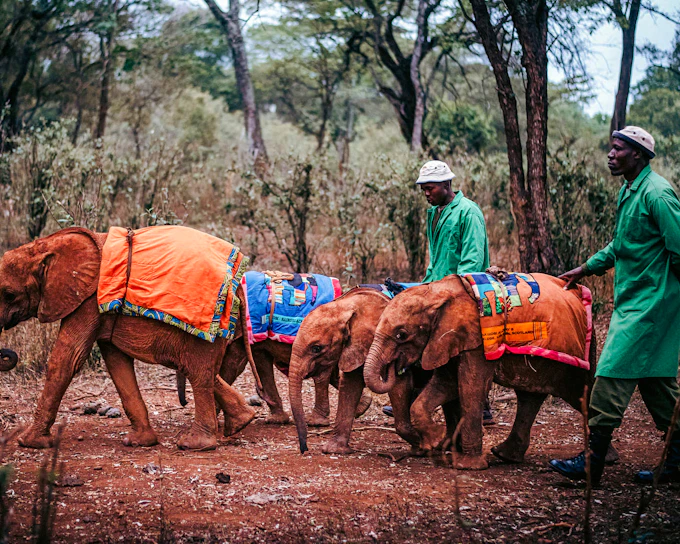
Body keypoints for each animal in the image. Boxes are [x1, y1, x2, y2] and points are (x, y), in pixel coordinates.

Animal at [0, 227, 258, 451]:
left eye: (9, 295)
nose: (9, 354)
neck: (44, 245)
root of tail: (237, 284)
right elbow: (117, 363)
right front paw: (140, 442)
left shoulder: (87, 301)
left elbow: (67, 359)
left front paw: (28, 442)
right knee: (202, 370)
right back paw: (241, 422)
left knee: (198, 373)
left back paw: (195, 445)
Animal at [363, 275, 602, 470]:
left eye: (401, 334)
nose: (396, 365)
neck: (435, 291)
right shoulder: (447, 338)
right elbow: (447, 383)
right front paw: (438, 441)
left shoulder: (477, 338)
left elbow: (471, 385)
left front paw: (465, 465)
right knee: (530, 396)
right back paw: (505, 455)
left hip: (581, 353)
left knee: (581, 392)